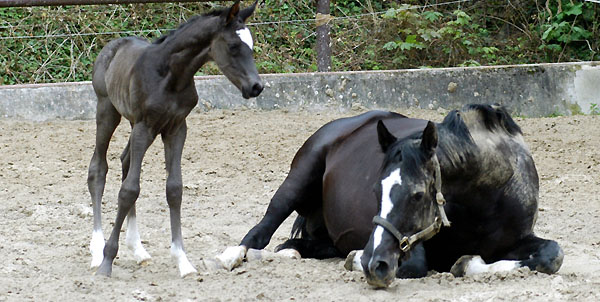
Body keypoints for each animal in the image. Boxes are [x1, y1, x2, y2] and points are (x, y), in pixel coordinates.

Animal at [87, 0, 262, 278]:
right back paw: (96, 252)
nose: (256, 87)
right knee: (98, 169)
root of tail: (113, 44)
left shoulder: (176, 128)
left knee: (125, 161)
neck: (171, 75)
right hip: (107, 110)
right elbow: (129, 190)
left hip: (134, 123)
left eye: (252, 45)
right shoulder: (145, 125)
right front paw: (107, 261)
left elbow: (174, 189)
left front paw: (183, 261)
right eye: (234, 46)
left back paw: (138, 250)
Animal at [216, 104, 564, 288]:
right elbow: (417, 266)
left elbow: (551, 255)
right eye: (375, 190)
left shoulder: (517, 239)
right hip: (297, 179)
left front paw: (468, 263)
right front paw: (358, 260)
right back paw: (233, 255)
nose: (374, 263)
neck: (485, 201)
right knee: (262, 229)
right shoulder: (414, 244)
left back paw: (292, 252)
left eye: (418, 195)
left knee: (301, 244)